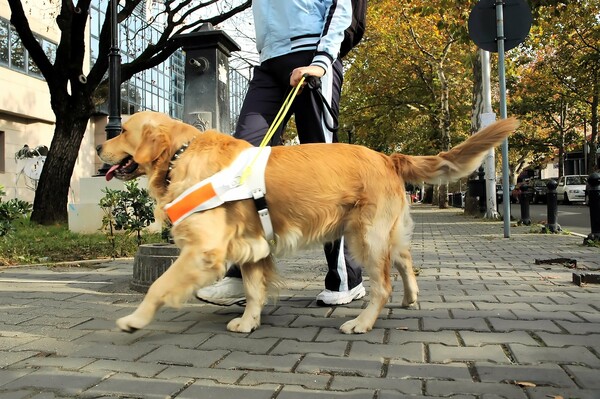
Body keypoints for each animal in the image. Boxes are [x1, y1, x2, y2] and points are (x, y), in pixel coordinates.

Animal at [97, 111, 516, 336]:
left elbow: (159, 286)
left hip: (364, 237)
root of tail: (387, 156)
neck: (180, 153)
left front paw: (135, 320)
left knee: (383, 285)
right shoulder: (251, 246)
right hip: (385, 233)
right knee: (406, 260)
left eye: (122, 131)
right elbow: (254, 290)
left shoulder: (205, 250)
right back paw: (411, 299)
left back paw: (361, 322)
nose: (99, 146)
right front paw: (248, 322)